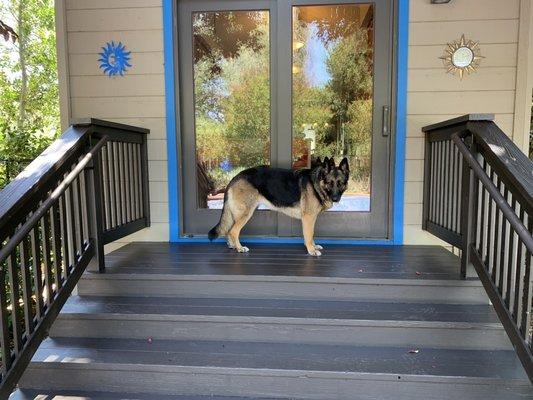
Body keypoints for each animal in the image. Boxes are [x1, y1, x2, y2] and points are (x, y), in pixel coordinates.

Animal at [206, 157, 348, 256]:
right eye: (330, 183)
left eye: (340, 183)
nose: (336, 199)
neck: (316, 182)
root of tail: (235, 177)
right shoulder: (308, 218)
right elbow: (309, 235)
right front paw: (311, 250)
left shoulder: (311, 219)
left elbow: (311, 235)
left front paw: (314, 246)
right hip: (246, 213)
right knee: (233, 231)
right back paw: (239, 248)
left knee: (228, 231)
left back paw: (232, 246)